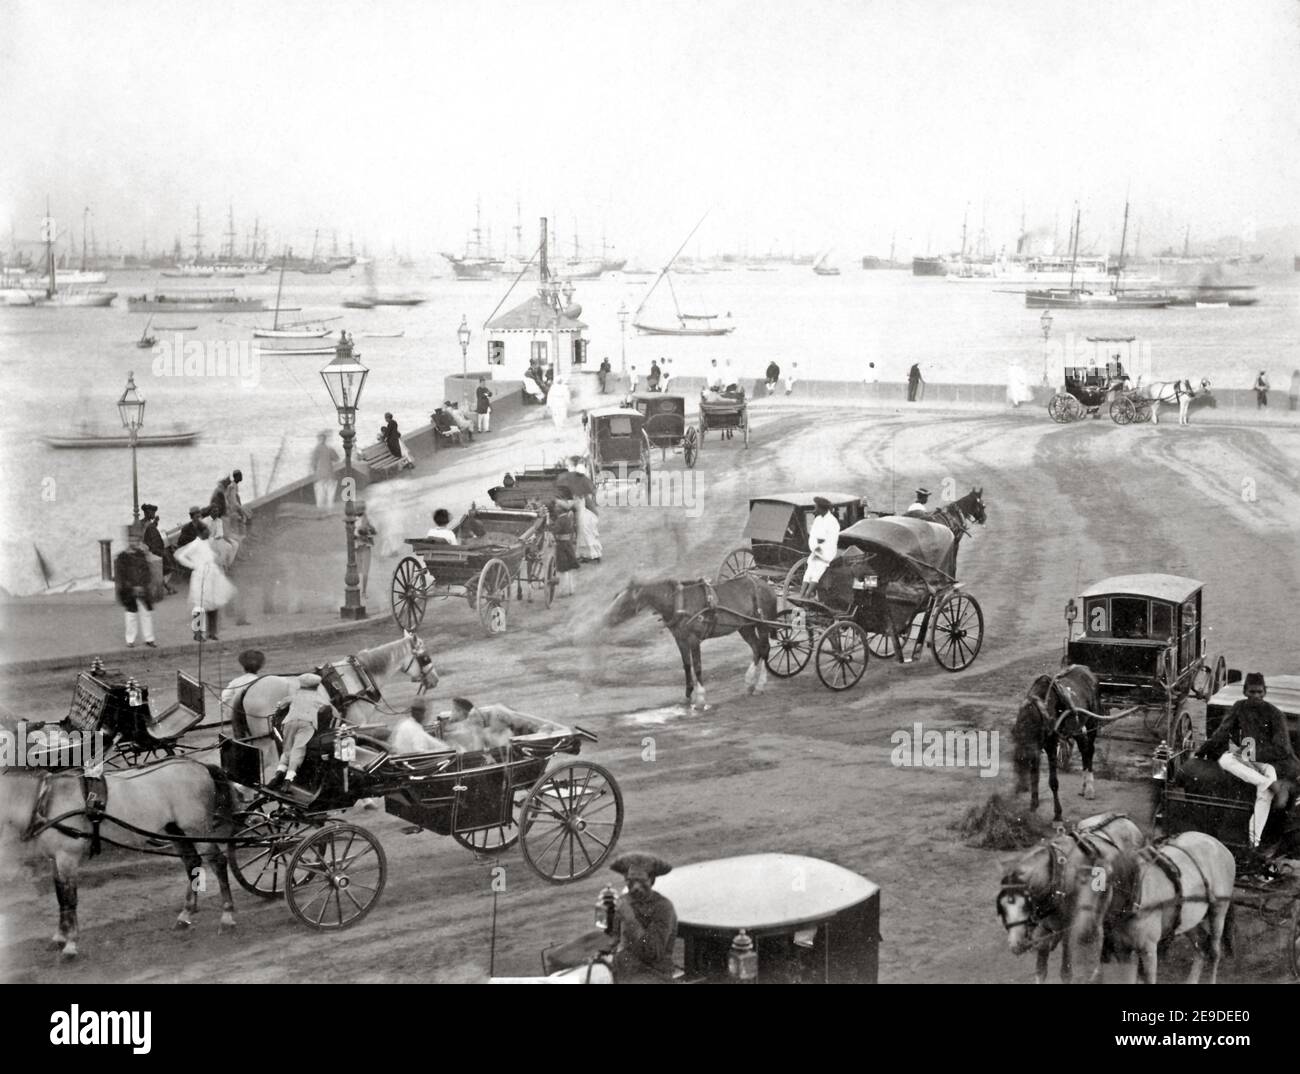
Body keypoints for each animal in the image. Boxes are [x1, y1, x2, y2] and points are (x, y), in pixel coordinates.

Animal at [603, 577, 774, 702]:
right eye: (615, 597)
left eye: (625, 602)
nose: (607, 620)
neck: (679, 603)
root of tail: (765, 584)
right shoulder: (680, 639)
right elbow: (686, 665)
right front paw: (688, 692)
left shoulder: (693, 639)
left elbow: (697, 666)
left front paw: (700, 696)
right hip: (745, 626)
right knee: (756, 648)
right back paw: (750, 681)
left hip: (762, 624)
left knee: (764, 649)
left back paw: (759, 685)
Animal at [1013, 660, 1097, 821]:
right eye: (1017, 762)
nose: (1020, 788)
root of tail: (1087, 669)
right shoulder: (1037, 748)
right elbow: (1035, 777)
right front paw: (1033, 806)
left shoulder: (1051, 746)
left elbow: (1053, 782)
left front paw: (1058, 814)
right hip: (1077, 729)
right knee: (1084, 750)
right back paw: (1084, 788)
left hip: (1092, 724)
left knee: (1090, 750)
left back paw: (1090, 789)